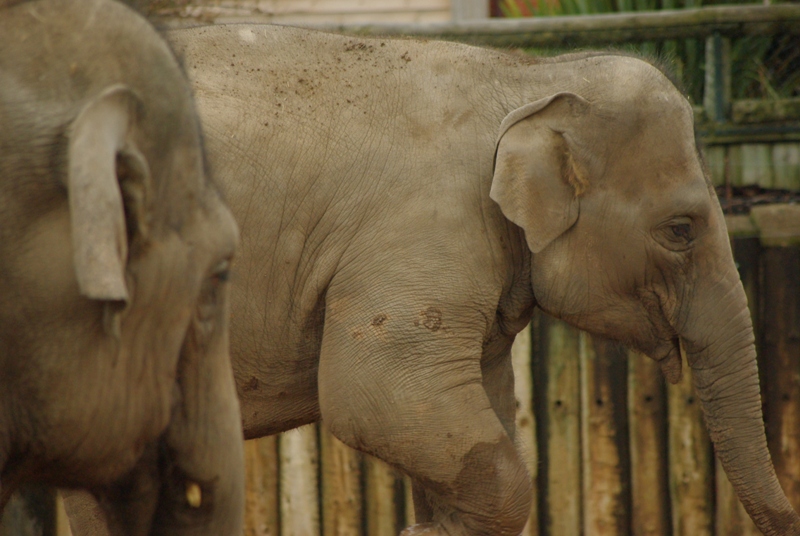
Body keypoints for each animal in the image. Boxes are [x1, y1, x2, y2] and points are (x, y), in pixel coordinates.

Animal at [65, 23, 800, 536]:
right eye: (680, 230)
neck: (525, 77)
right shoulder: (422, 229)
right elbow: (375, 394)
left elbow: (483, 407)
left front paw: (431, 521)